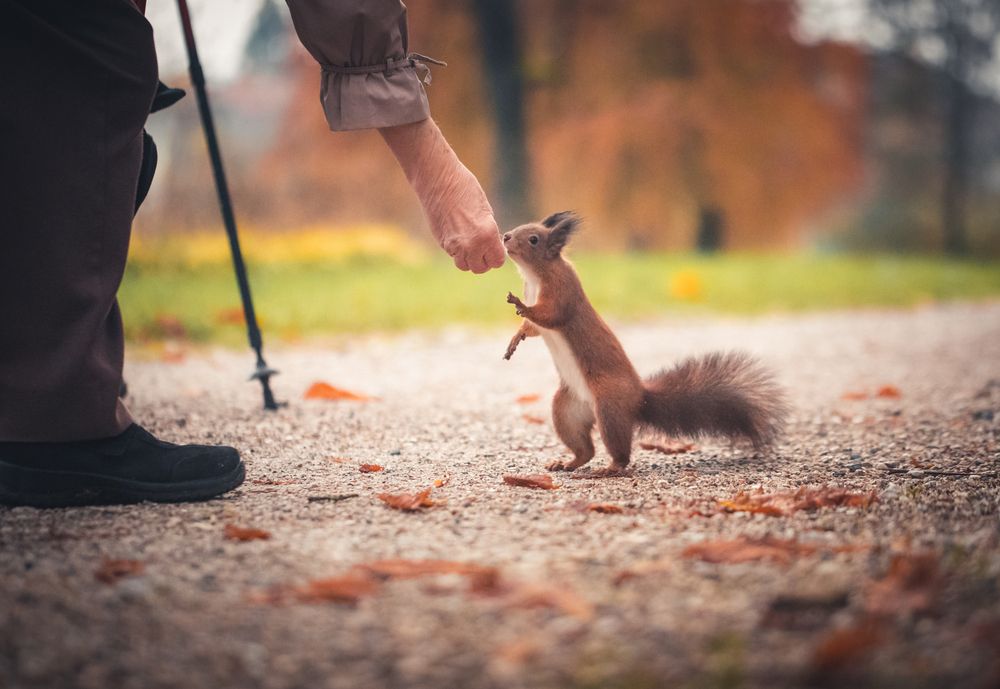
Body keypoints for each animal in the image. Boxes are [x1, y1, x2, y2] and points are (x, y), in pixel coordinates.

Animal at [502, 211, 786, 477]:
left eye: (534, 239)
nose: (505, 236)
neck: (535, 275)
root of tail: (639, 398)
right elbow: (533, 328)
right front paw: (515, 339)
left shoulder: (562, 290)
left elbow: (551, 315)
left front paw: (521, 305)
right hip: (567, 410)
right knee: (585, 449)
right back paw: (567, 463)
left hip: (609, 408)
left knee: (618, 448)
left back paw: (611, 468)